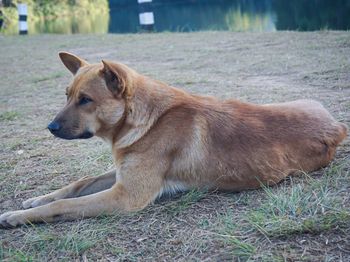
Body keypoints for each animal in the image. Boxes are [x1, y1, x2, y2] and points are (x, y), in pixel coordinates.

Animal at [0, 51, 346, 227]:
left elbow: (65, 205)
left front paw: (18, 216)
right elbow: (77, 184)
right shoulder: (122, 174)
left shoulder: (126, 196)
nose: (50, 127)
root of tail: (336, 125)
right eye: (67, 95)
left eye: (86, 100)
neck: (144, 118)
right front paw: (36, 199)